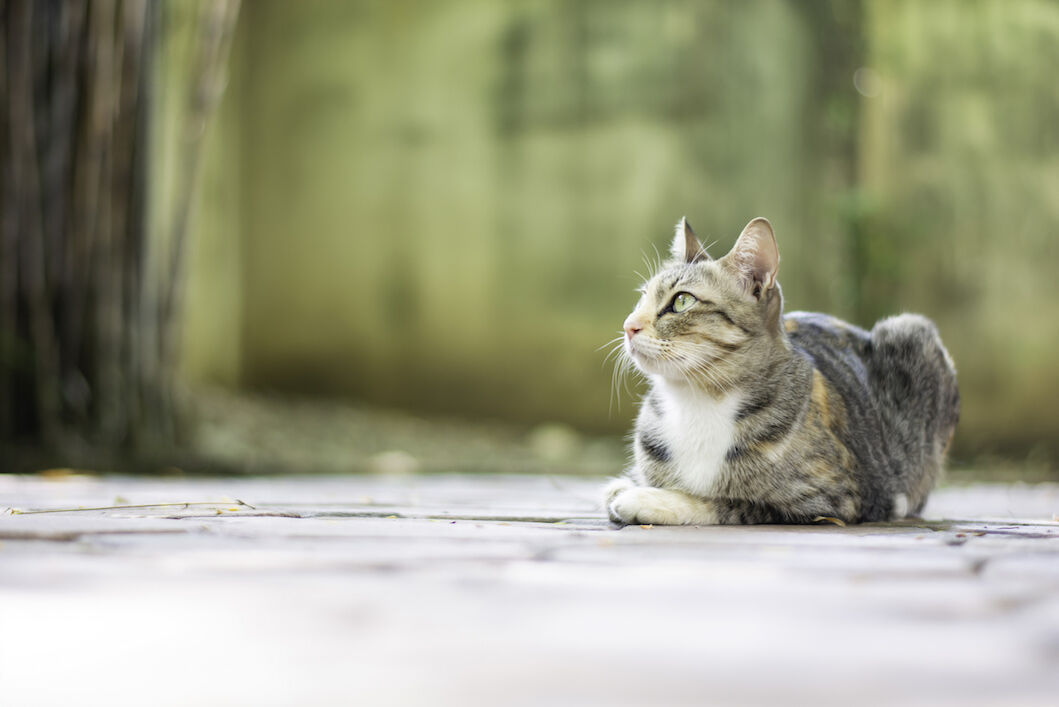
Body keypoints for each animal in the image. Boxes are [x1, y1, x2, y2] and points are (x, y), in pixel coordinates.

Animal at [605, 216, 961, 524]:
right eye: (643, 298)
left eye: (681, 301)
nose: (627, 326)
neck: (698, 400)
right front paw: (626, 486)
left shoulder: (830, 500)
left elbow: (727, 502)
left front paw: (646, 499)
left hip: (912, 331)